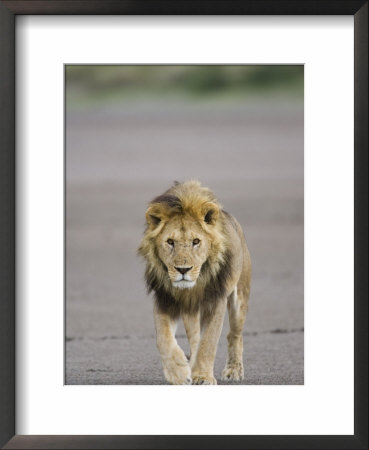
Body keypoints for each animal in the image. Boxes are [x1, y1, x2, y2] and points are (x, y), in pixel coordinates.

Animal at [137, 179, 250, 384]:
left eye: (196, 241)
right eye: (170, 242)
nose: (183, 270)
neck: (192, 288)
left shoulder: (216, 301)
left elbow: (209, 342)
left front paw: (203, 376)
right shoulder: (165, 300)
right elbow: (163, 338)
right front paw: (178, 371)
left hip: (240, 297)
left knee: (234, 334)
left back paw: (234, 370)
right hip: (190, 311)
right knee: (195, 338)